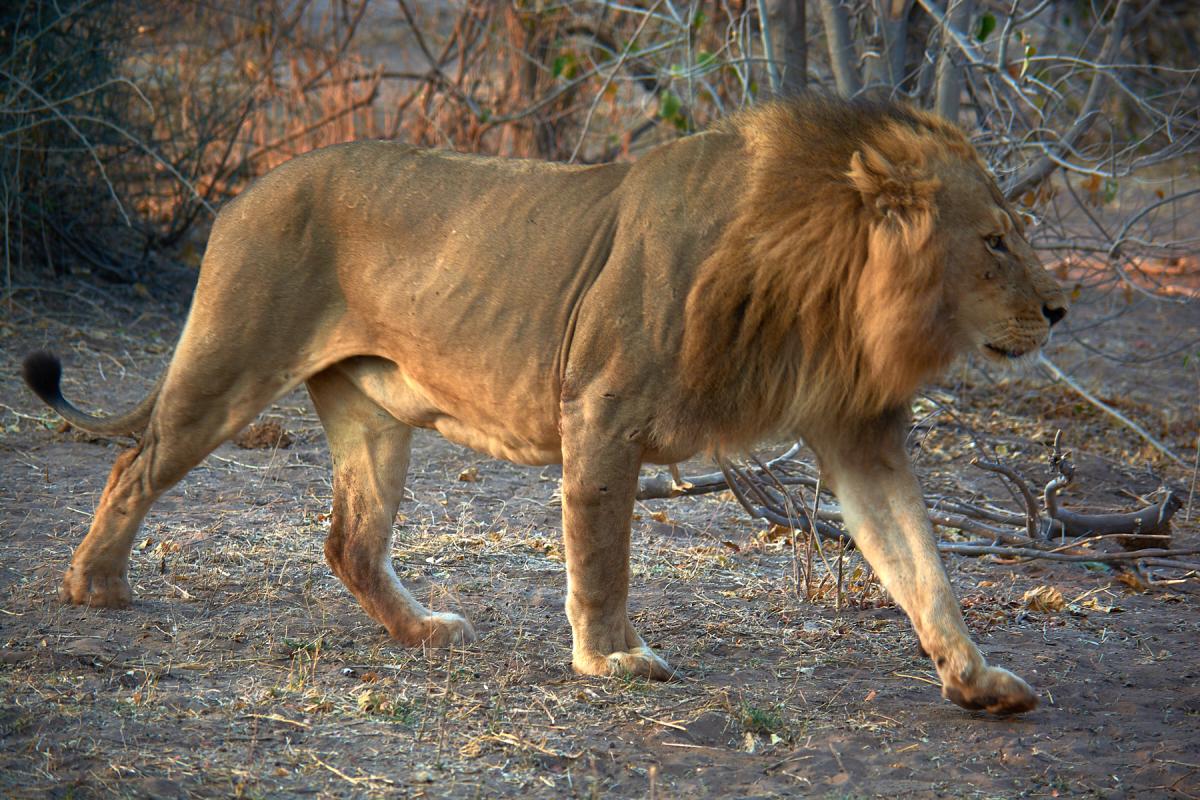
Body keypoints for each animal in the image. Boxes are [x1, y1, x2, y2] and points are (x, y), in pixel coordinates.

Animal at [24, 95, 1065, 715]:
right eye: (995, 240)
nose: (1060, 309)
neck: (830, 288)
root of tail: (245, 192)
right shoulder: (601, 407)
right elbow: (602, 556)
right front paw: (611, 660)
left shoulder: (857, 430)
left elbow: (920, 563)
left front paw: (977, 679)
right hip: (230, 363)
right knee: (135, 464)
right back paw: (94, 585)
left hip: (374, 414)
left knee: (350, 542)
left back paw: (424, 631)